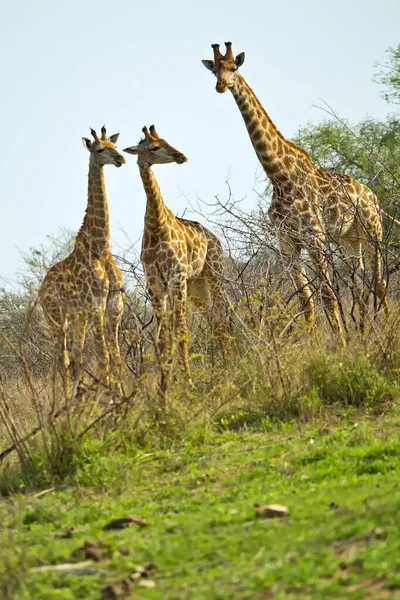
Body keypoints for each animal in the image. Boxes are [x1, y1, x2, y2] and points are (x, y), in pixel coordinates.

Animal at [39, 125, 126, 394]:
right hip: (56, 317)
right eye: (99, 149)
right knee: (62, 359)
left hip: (78, 318)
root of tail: (41, 287)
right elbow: (104, 356)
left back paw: (75, 399)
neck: (100, 246)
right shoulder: (96, 304)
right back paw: (65, 401)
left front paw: (123, 397)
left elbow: (115, 356)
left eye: (115, 146)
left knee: (75, 357)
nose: (121, 159)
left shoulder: (114, 304)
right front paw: (112, 401)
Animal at [123, 125, 230, 382]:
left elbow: (181, 329)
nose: (181, 156)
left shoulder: (176, 276)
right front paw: (168, 380)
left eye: (165, 140)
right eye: (154, 147)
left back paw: (232, 362)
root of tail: (215, 239)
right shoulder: (154, 282)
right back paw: (225, 363)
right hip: (196, 286)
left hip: (214, 275)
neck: (155, 225)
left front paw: (187, 380)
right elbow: (163, 335)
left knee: (222, 318)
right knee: (213, 321)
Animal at [202, 42, 390, 342]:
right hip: (349, 240)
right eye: (214, 70)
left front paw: (340, 345)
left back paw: (383, 330)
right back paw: (364, 333)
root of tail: (372, 196)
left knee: (379, 282)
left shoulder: (314, 237)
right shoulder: (287, 242)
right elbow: (306, 300)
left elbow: (327, 294)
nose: (220, 85)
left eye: (233, 68)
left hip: (373, 232)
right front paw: (316, 344)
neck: (279, 175)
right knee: (359, 283)